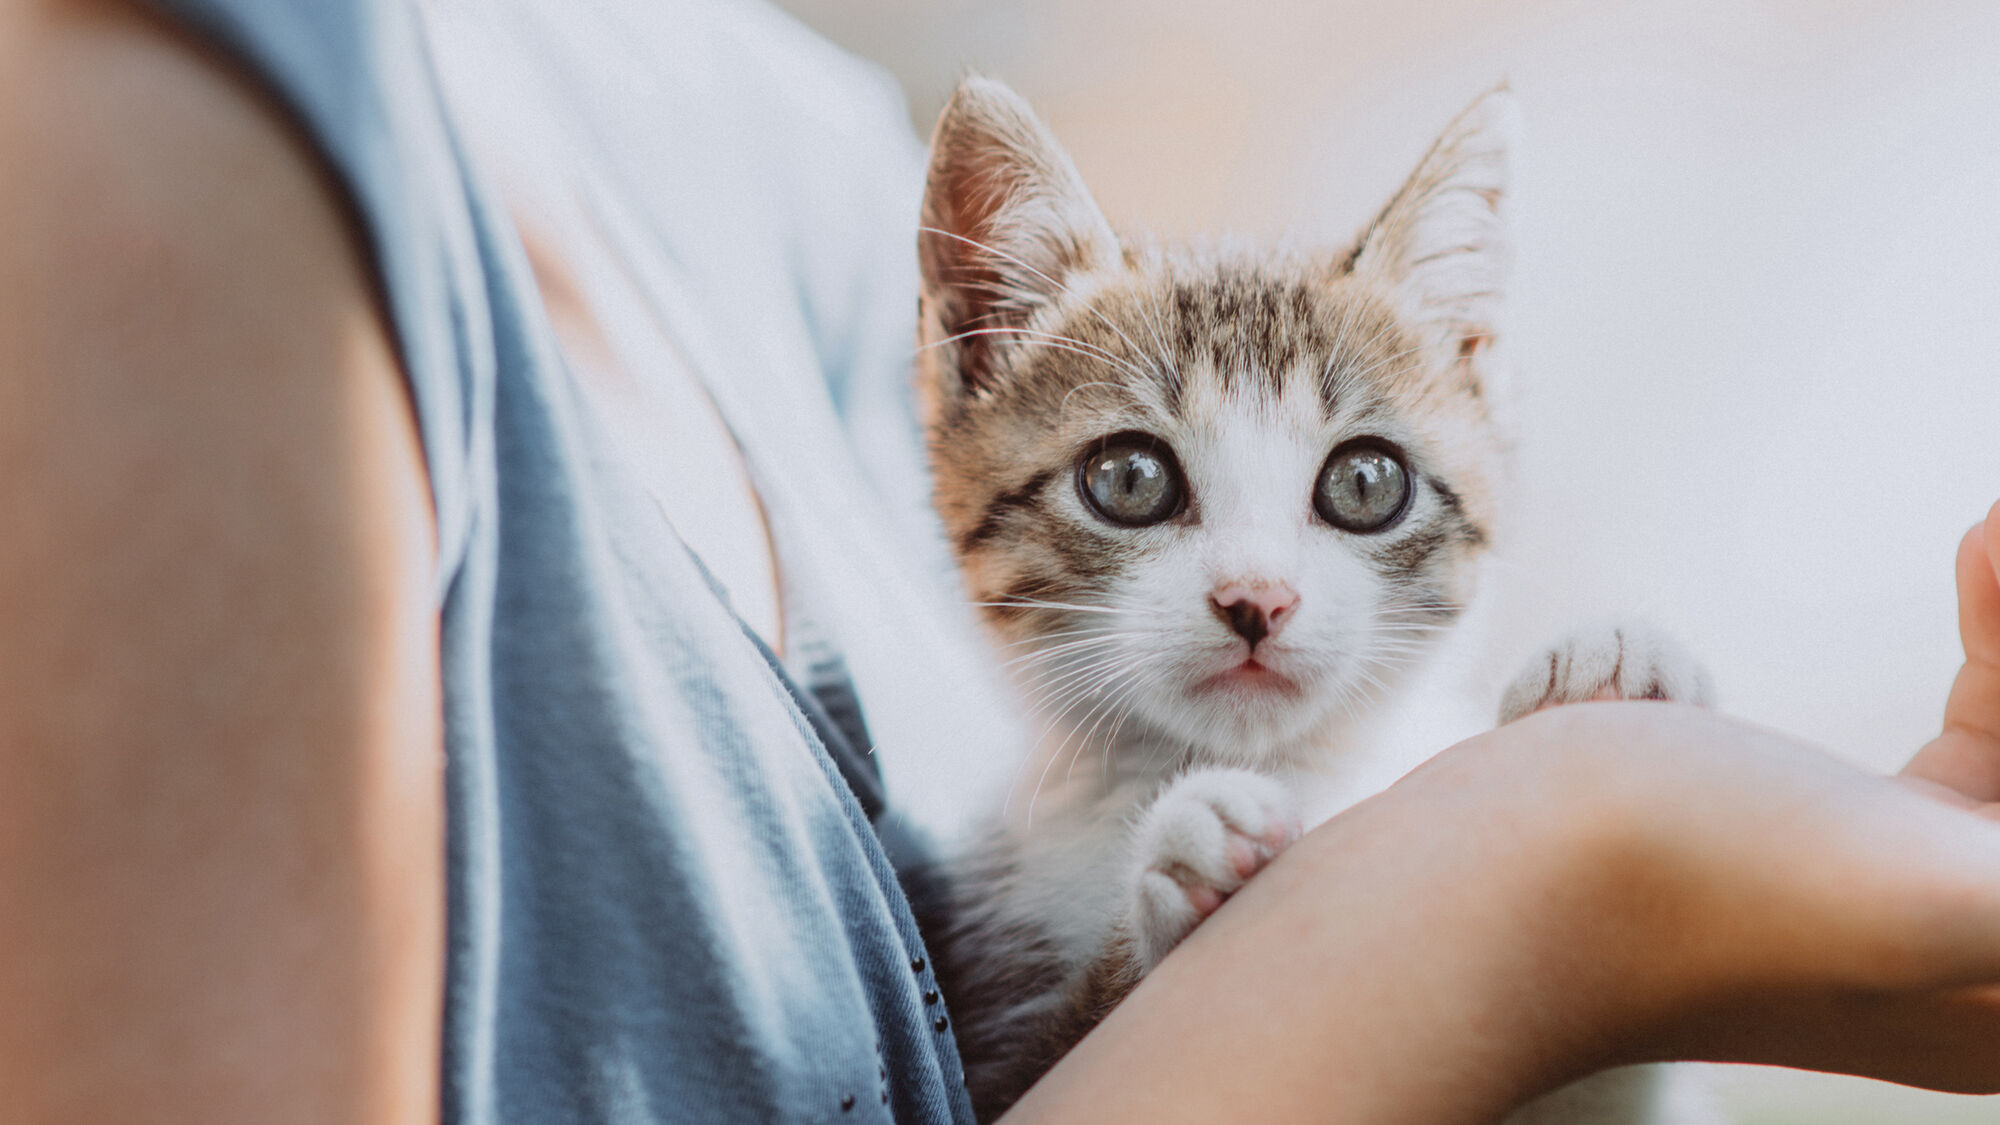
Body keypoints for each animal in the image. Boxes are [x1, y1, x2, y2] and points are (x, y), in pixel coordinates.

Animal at [916, 74, 1712, 1112]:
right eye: (1129, 478)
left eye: (1366, 482)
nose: (1257, 598)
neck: (1297, 764)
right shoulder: (993, 1027)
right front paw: (1184, 854)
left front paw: (1604, 671)